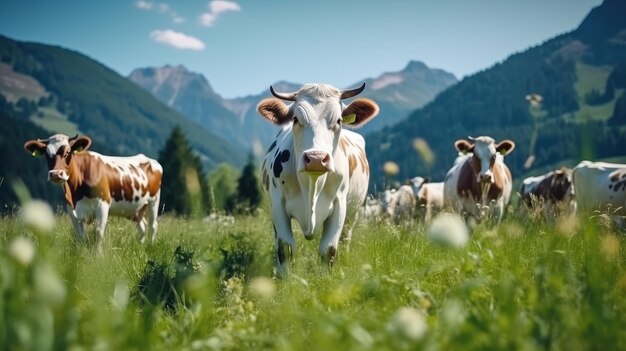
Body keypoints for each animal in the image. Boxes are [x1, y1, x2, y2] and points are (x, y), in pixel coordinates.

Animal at [24, 133, 162, 249]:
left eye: (68, 152)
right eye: (47, 155)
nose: (56, 174)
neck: (75, 193)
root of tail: (151, 160)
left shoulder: (103, 204)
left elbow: (98, 233)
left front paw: (98, 256)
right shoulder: (71, 209)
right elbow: (79, 236)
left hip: (153, 201)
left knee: (153, 226)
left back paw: (151, 246)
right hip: (135, 209)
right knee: (142, 227)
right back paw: (140, 246)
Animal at [256, 83, 378, 276]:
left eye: (339, 120)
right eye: (295, 119)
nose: (316, 158)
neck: (311, 186)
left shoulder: (339, 205)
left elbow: (329, 249)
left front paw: (326, 278)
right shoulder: (277, 205)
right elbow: (285, 246)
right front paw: (285, 277)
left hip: (353, 212)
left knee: (346, 237)